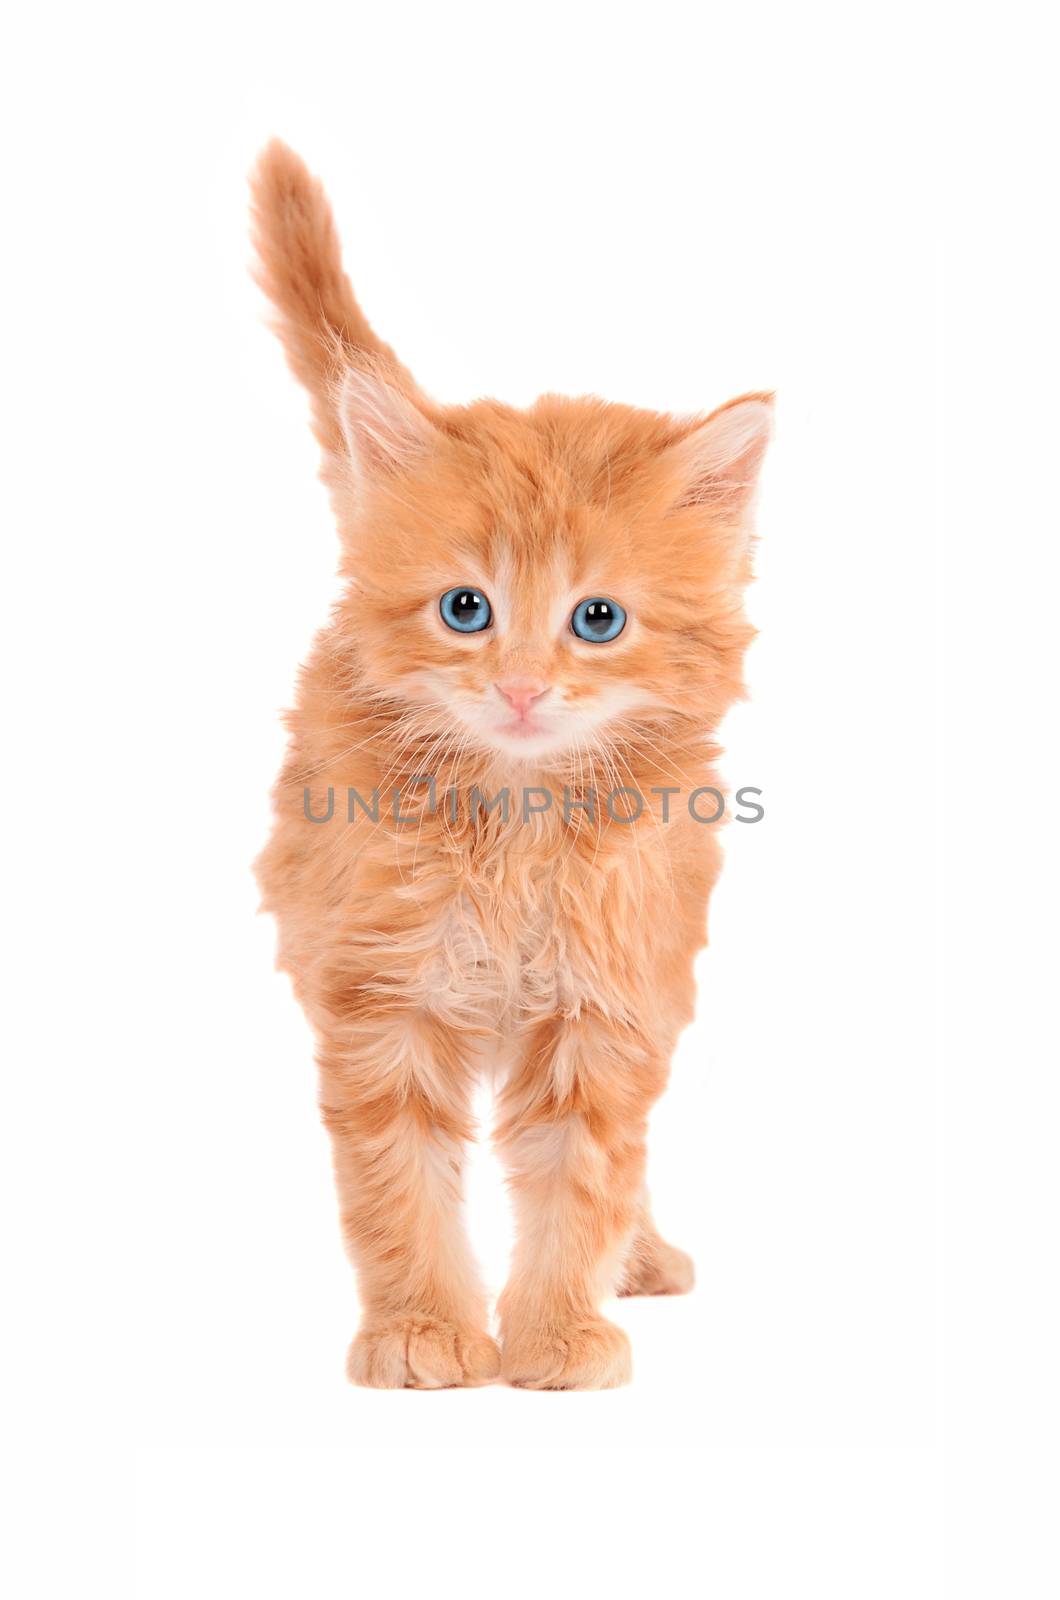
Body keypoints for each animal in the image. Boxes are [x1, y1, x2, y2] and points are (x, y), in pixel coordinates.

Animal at [252, 140, 778, 1388]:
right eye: (465, 608)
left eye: (597, 618)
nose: (524, 687)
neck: (515, 826)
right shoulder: (381, 996)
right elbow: (397, 1183)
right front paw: (421, 1327)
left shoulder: (608, 998)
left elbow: (585, 1174)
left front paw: (556, 1332)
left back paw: (640, 1255)